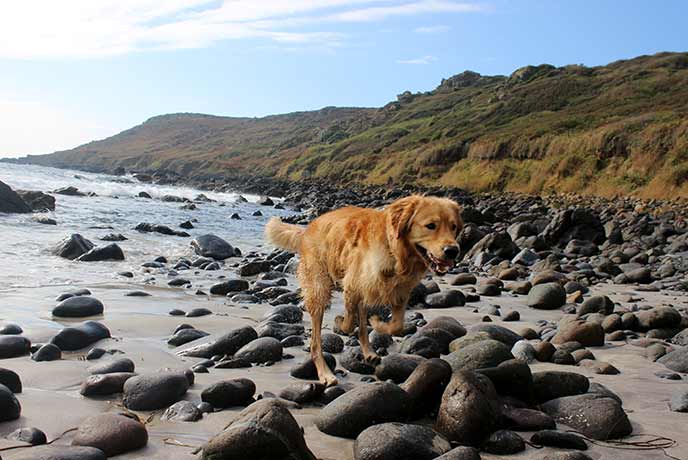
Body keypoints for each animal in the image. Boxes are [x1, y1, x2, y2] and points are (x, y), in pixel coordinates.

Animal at [264, 194, 462, 384]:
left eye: (454, 227)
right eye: (431, 226)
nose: (453, 251)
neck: (394, 252)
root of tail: (308, 229)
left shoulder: (400, 292)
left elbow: (396, 326)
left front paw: (376, 323)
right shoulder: (352, 284)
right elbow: (348, 323)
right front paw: (340, 321)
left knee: (361, 325)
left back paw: (369, 351)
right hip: (319, 289)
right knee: (315, 344)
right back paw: (326, 374)